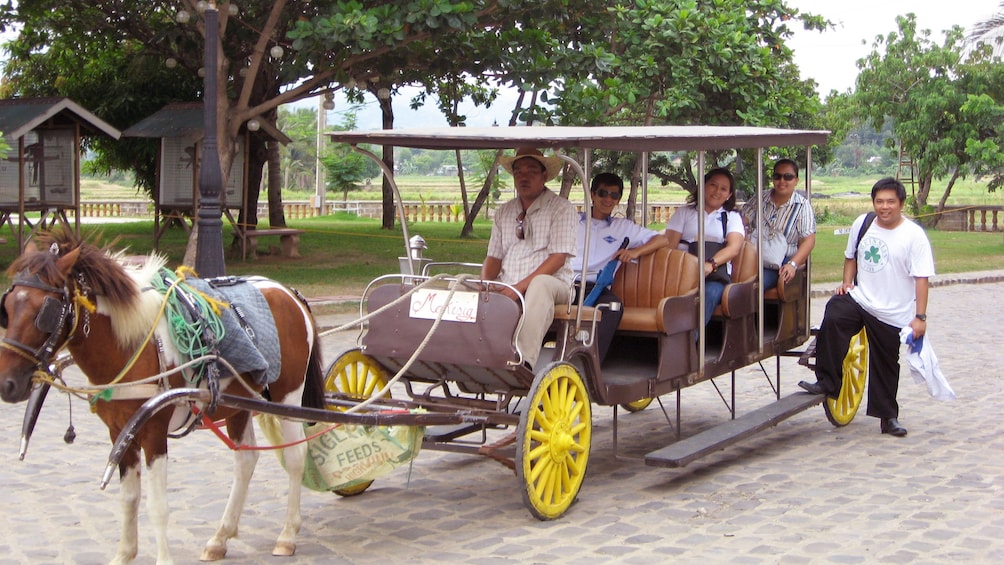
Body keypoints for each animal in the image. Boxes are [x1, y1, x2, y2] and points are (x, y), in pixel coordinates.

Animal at [0, 230, 325, 565]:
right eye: (7, 307)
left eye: (44, 311)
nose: (7, 384)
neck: (133, 343)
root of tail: (290, 293)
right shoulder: (120, 431)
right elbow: (129, 497)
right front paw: (124, 554)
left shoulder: (154, 431)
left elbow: (157, 505)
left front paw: (162, 558)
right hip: (239, 402)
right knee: (245, 460)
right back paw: (220, 537)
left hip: (287, 397)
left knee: (296, 457)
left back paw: (287, 533)